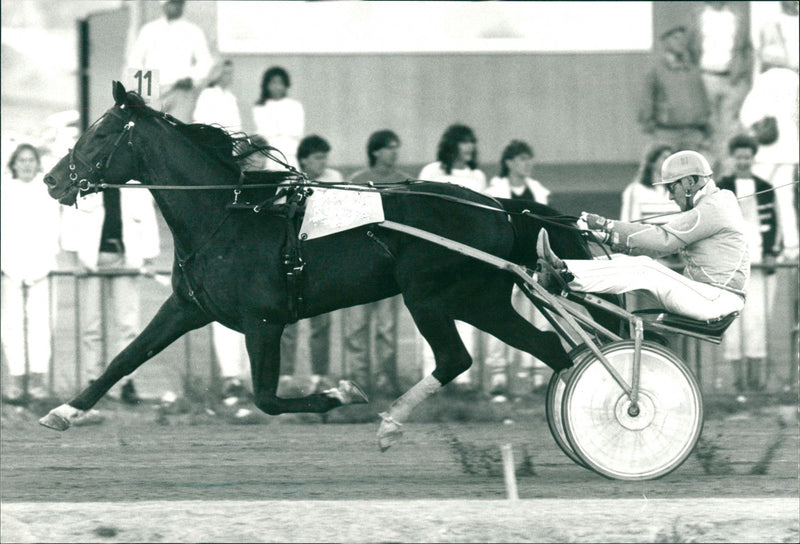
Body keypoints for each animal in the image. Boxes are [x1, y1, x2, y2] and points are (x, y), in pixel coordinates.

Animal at [40, 81, 608, 446]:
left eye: (100, 134)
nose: (51, 179)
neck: (228, 213)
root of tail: (499, 206)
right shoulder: (187, 307)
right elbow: (125, 358)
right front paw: (63, 411)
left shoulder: (263, 321)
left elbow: (267, 398)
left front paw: (342, 391)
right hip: (479, 299)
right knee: (549, 350)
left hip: (429, 295)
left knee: (456, 358)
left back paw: (390, 421)